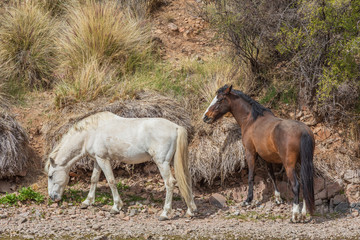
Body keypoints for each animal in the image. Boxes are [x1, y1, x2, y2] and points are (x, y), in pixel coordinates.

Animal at [45, 111, 197, 220]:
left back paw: (165, 214)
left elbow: (111, 181)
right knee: (186, 180)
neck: (91, 133)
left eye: (51, 176)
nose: (53, 197)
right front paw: (87, 202)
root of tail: (176, 127)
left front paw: (116, 207)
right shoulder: (97, 160)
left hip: (162, 163)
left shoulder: (103, 159)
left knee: (170, 183)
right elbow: (93, 179)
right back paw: (190, 210)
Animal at [204, 85, 314, 223]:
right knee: (305, 184)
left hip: (289, 165)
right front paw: (278, 198)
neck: (251, 120)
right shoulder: (266, 156)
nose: (205, 117)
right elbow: (271, 175)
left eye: (219, 100)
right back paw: (303, 214)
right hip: (303, 163)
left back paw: (295, 215)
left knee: (296, 185)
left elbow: (251, 176)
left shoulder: (250, 153)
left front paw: (248, 200)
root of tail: (303, 130)